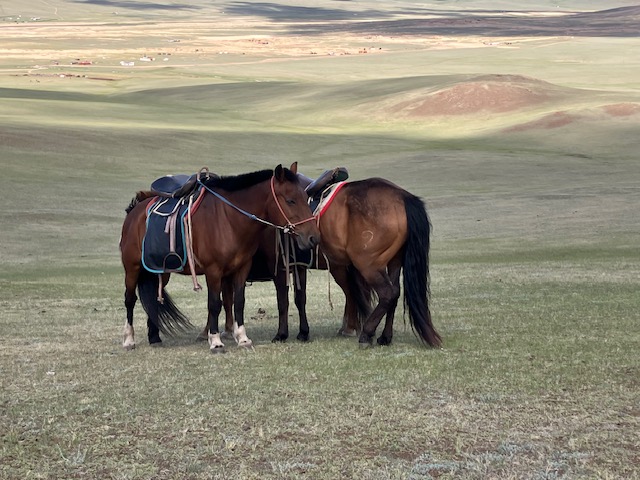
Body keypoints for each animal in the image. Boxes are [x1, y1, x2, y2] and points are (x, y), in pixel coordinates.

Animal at [119, 163, 320, 353]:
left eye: (305, 197)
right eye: (291, 200)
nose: (313, 237)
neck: (228, 220)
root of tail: (134, 211)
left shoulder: (241, 268)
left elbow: (238, 302)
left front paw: (243, 339)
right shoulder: (214, 271)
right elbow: (215, 304)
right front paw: (215, 341)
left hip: (160, 270)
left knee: (153, 299)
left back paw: (154, 338)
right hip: (132, 268)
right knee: (130, 299)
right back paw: (128, 340)